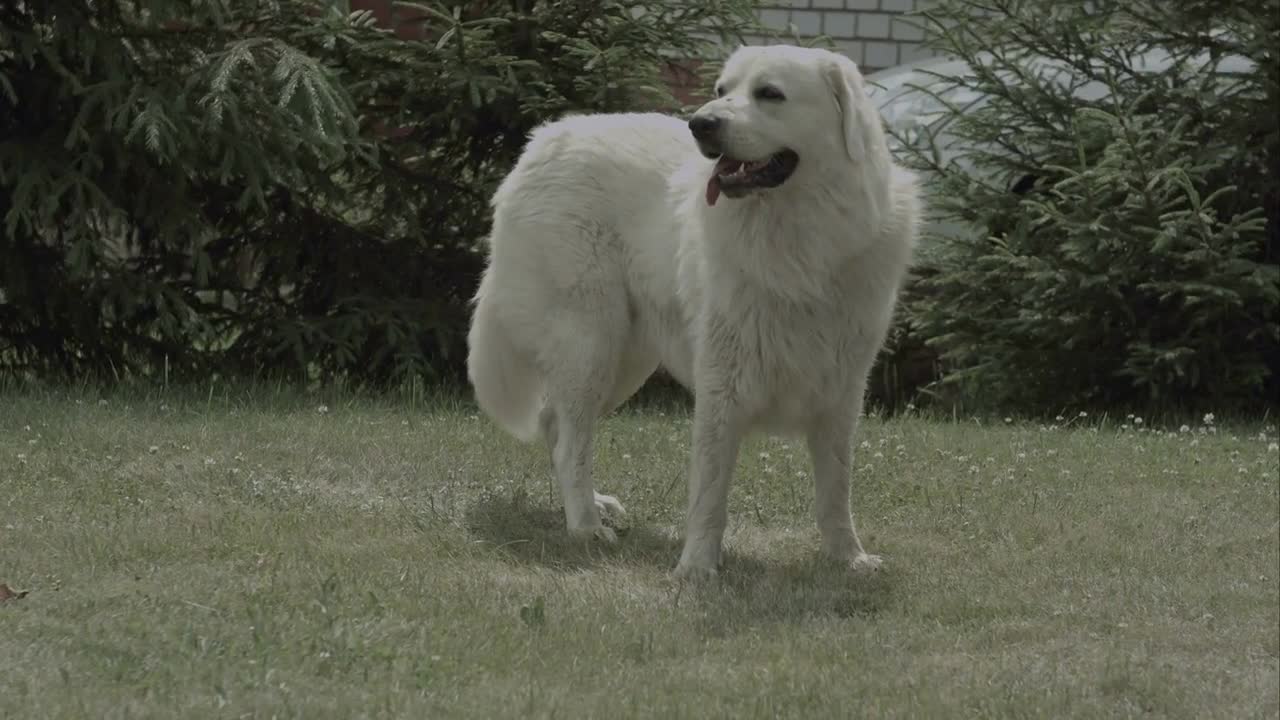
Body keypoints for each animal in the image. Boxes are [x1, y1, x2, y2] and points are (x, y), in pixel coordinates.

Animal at [465, 44, 916, 576]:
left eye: (770, 94)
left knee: (558, 426)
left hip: (622, 360)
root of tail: (542, 141)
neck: (797, 243)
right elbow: (710, 491)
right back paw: (586, 527)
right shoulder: (724, 381)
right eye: (722, 90)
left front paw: (848, 557)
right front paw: (697, 568)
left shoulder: (840, 388)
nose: (700, 124)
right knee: (572, 438)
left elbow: (836, 489)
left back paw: (592, 508)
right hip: (589, 343)